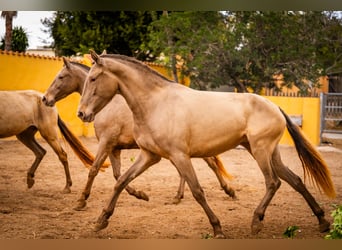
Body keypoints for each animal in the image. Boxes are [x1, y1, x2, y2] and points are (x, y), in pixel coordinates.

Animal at [42, 57, 235, 209]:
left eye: (60, 77)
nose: (45, 98)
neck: (108, 105)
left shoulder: (106, 142)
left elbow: (95, 170)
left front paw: (82, 200)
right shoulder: (114, 148)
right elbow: (118, 175)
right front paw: (140, 194)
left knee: (211, 163)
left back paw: (229, 191)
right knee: (188, 170)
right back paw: (178, 196)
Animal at [76, 50, 336, 238]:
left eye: (93, 78)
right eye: (86, 79)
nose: (82, 113)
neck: (156, 104)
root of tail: (275, 106)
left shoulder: (179, 156)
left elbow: (198, 192)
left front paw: (217, 228)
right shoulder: (149, 156)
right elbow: (121, 182)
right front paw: (101, 221)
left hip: (261, 151)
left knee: (273, 182)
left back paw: (256, 222)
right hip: (268, 153)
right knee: (295, 180)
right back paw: (322, 221)